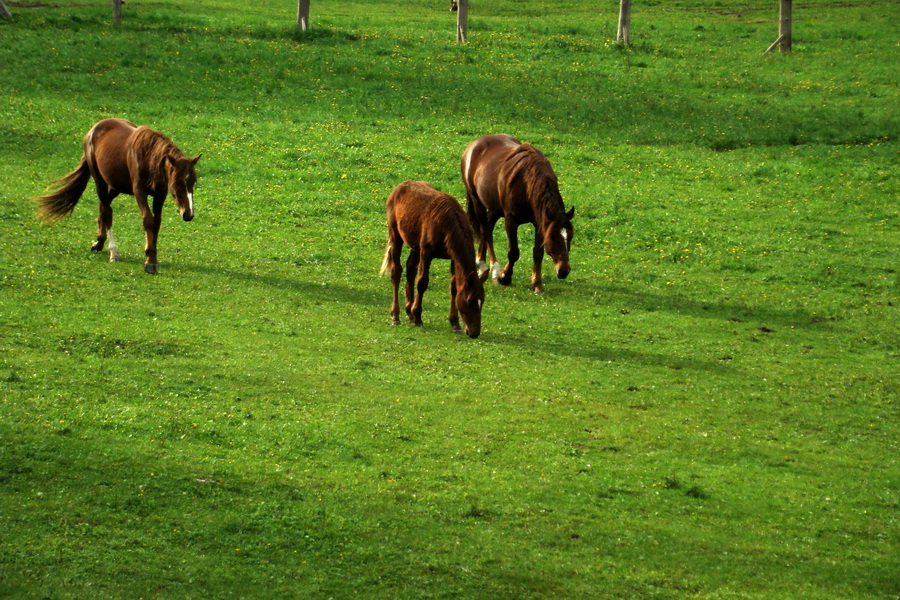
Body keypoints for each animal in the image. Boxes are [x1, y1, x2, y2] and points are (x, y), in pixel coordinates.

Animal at [35, 116, 200, 274]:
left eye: (193, 181)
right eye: (177, 182)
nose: (188, 214)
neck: (148, 157)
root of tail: (94, 129)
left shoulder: (160, 194)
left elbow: (156, 223)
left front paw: (153, 258)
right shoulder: (139, 192)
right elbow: (148, 220)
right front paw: (149, 262)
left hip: (115, 186)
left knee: (104, 207)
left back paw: (99, 243)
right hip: (100, 182)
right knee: (107, 213)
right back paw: (113, 252)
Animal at [380, 182, 492, 338]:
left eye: (483, 300)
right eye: (470, 301)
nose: (474, 332)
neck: (447, 223)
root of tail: (400, 187)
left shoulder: (453, 258)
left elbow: (454, 288)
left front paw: (455, 324)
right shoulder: (426, 254)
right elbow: (422, 283)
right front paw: (418, 317)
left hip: (415, 246)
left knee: (410, 269)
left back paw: (409, 311)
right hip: (396, 237)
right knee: (396, 273)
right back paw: (396, 315)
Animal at [464, 136, 576, 296]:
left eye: (570, 237)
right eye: (553, 238)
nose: (564, 271)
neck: (526, 183)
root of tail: (475, 143)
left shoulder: (540, 222)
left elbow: (538, 253)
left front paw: (537, 284)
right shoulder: (511, 221)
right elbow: (513, 252)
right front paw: (505, 277)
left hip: (494, 208)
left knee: (488, 228)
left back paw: (481, 265)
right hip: (477, 201)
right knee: (486, 232)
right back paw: (492, 269)